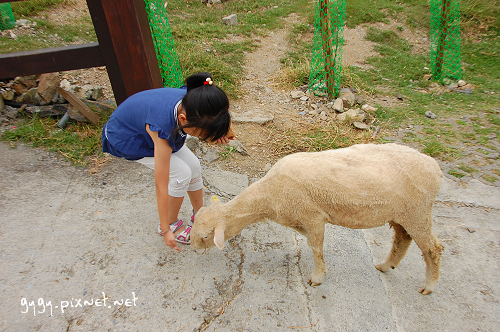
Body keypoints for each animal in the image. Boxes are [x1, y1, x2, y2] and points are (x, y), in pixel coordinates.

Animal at [191, 144, 446, 294]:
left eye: (205, 236)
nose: (193, 250)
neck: (269, 195)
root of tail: (435, 167)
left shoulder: (312, 216)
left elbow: (315, 247)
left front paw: (317, 277)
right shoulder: (300, 219)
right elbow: (311, 243)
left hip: (418, 211)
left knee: (433, 248)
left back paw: (429, 285)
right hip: (402, 214)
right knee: (402, 239)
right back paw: (386, 265)